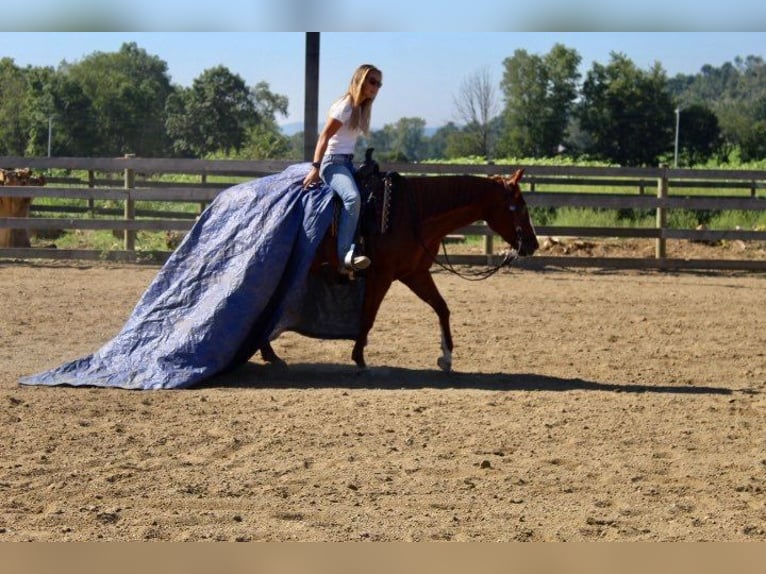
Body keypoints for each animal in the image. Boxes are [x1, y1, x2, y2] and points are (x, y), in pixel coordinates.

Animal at [260, 166, 536, 374]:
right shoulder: (382, 275)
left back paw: (270, 355)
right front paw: (359, 358)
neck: (415, 214)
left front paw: (446, 357)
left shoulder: (414, 273)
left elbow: (442, 307)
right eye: (521, 207)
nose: (532, 244)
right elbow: (368, 316)